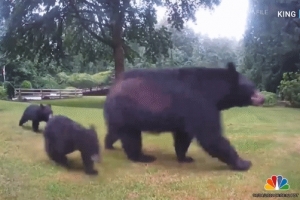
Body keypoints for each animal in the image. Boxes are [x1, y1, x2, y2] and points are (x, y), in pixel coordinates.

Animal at [103, 62, 264, 170]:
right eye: (253, 87)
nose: (263, 98)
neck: (214, 90)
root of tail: (111, 89)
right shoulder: (199, 104)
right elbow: (211, 136)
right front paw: (244, 163)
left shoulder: (187, 115)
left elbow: (183, 137)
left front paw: (185, 157)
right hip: (126, 110)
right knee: (131, 138)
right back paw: (142, 157)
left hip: (120, 115)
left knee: (115, 131)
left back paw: (108, 144)